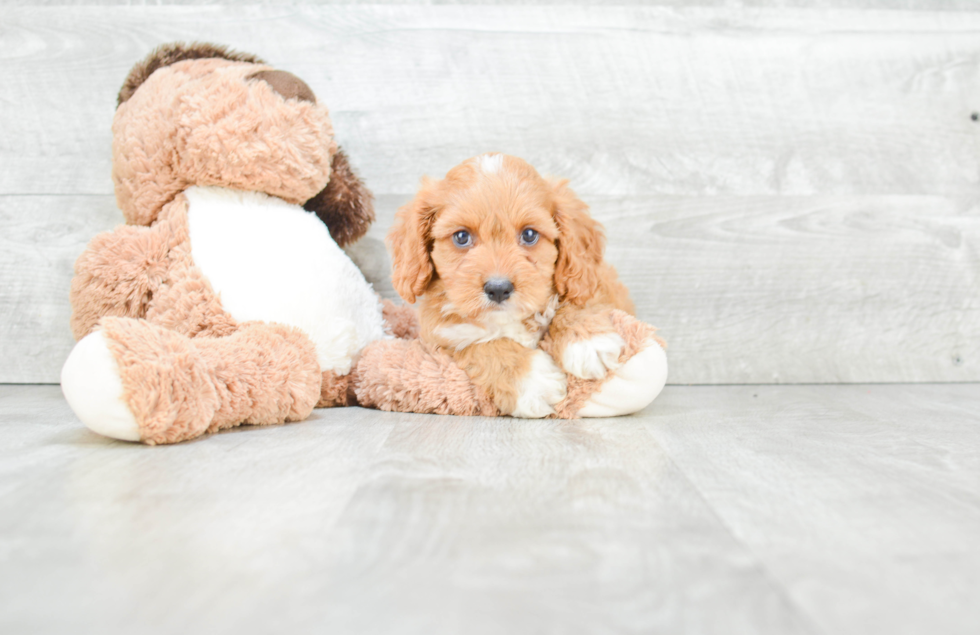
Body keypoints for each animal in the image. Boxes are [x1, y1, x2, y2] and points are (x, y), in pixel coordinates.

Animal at [390, 152, 644, 414]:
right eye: (461, 237)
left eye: (529, 235)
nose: (498, 289)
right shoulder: (439, 339)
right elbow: (481, 346)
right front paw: (534, 380)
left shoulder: (590, 279)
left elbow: (577, 300)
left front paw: (588, 342)